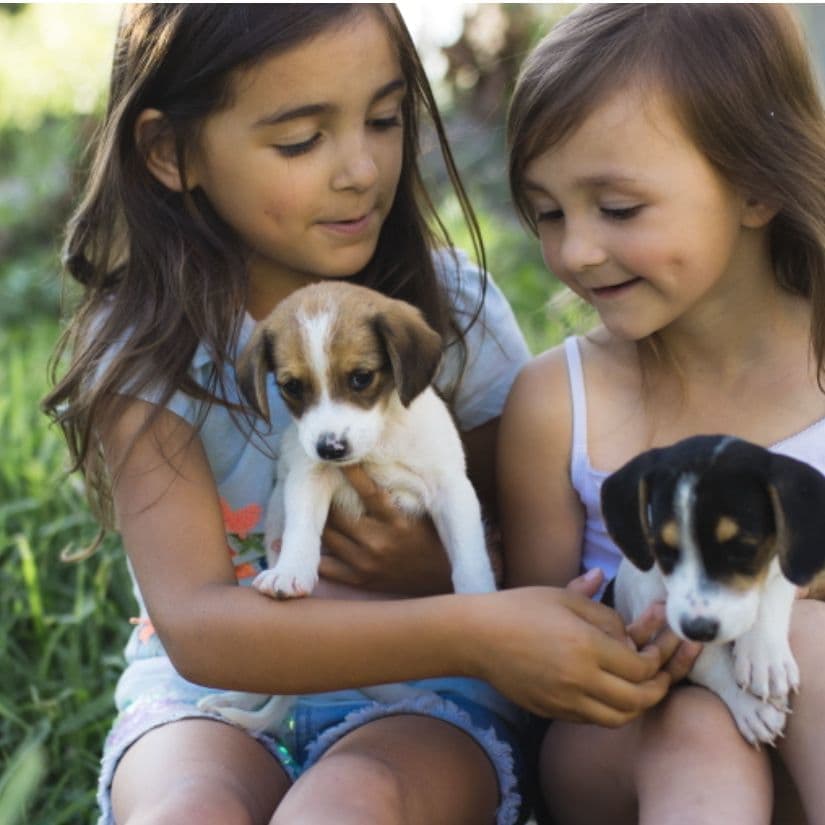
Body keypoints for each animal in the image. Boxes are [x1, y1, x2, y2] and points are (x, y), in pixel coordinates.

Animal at [235, 282, 492, 600]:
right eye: (292, 386)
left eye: (361, 377)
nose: (330, 448)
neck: (378, 443)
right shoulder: (309, 476)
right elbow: (300, 527)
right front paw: (290, 571)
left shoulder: (450, 487)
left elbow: (469, 554)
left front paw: (477, 594)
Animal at [600, 434, 825, 744]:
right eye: (663, 552)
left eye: (742, 551)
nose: (698, 629)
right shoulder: (663, 628)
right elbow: (709, 662)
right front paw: (751, 707)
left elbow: (772, 588)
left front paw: (763, 658)